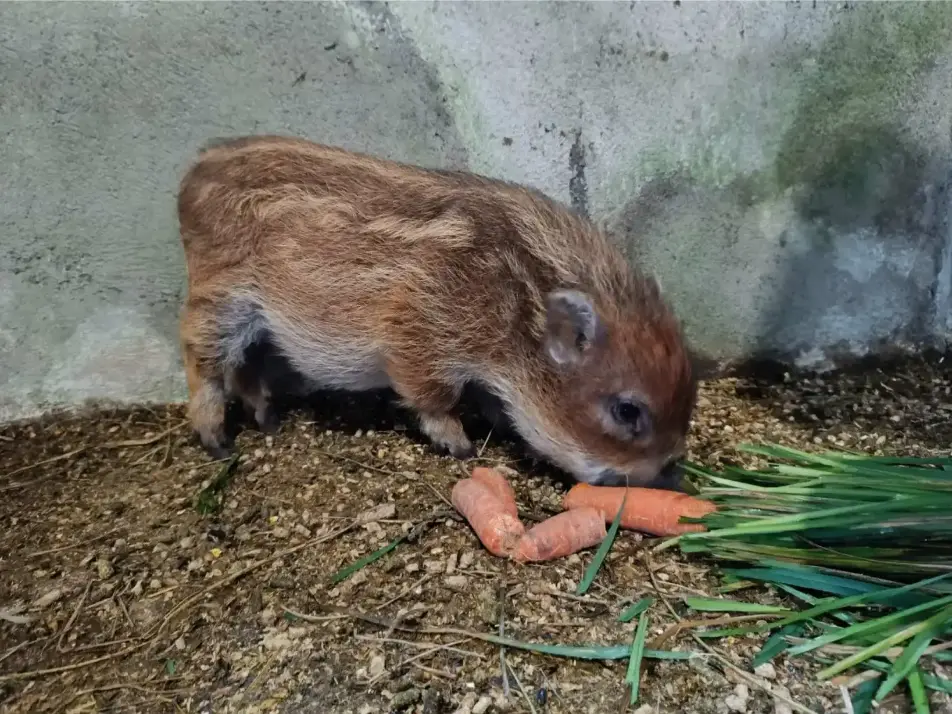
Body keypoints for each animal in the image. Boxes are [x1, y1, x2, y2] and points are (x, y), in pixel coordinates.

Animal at [176, 135, 696, 486]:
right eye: (627, 411)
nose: (670, 473)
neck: (512, 304)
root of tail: (192, 174)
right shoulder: (419, 332)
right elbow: (434, 396)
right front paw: (462, 447)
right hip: (220, 295)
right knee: (202, 356)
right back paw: (217, 442)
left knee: (246, 366)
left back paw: (268, 419)